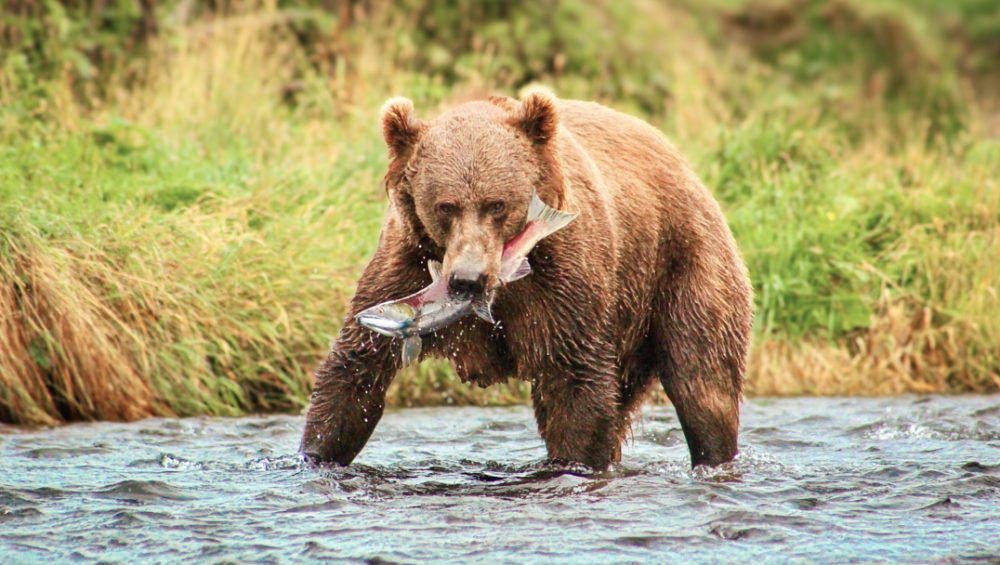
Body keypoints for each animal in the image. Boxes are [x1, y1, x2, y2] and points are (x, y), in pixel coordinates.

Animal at [300, 89, 753, 470]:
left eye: (496, 204)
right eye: (445, 206)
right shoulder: (405, 263)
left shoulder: (563, 281)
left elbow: (576, 381)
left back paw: (714, 455)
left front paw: (573, 463)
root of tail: (681, 160)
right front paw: (317, 455)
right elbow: (356, 367)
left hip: (684, 262)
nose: (467, 280)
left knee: (702, 382)